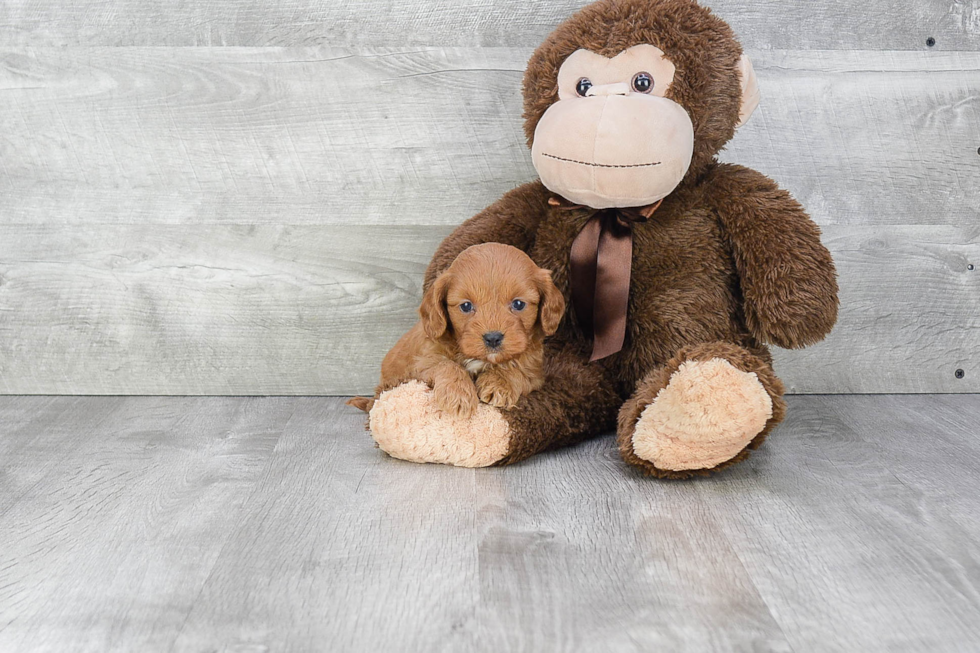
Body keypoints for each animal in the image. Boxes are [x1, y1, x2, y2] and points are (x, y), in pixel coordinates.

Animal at [348, 243, 564, 418]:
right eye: (466, 306)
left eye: (519, 304)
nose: (493, 338)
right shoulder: (421, 363)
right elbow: (446, 365)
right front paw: (458, 395)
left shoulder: (535, 372)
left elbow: (516, 367)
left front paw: (500, 384)